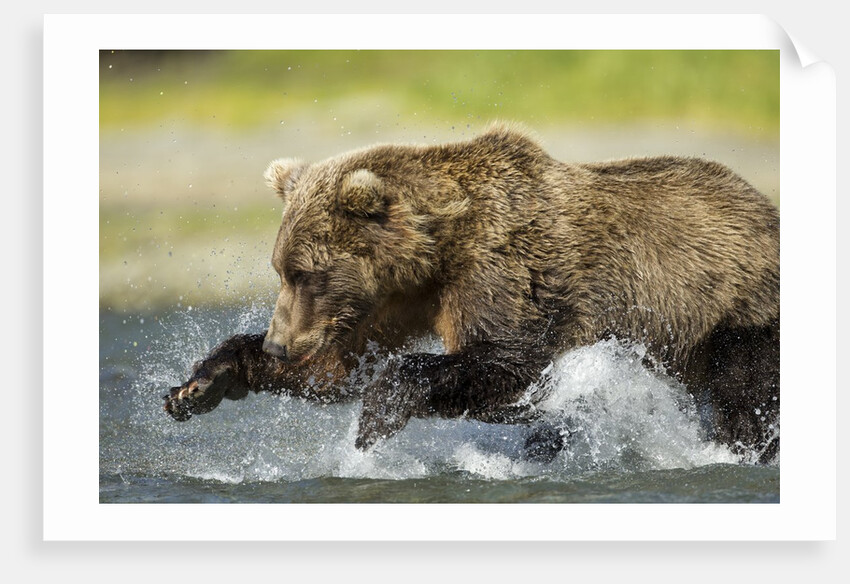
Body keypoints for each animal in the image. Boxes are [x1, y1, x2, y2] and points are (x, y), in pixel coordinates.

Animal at [164, 123, 780, 462]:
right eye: (280, 269)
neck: (434, 257)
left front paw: (375, 419)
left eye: (304, 273)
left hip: (732, 311)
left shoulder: (506, 273)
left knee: (745, 397)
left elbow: (507, 365)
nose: (279, 343)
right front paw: (200, 384)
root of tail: (766, 206)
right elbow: (339, 369)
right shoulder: (396, 303)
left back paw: (742, 447)